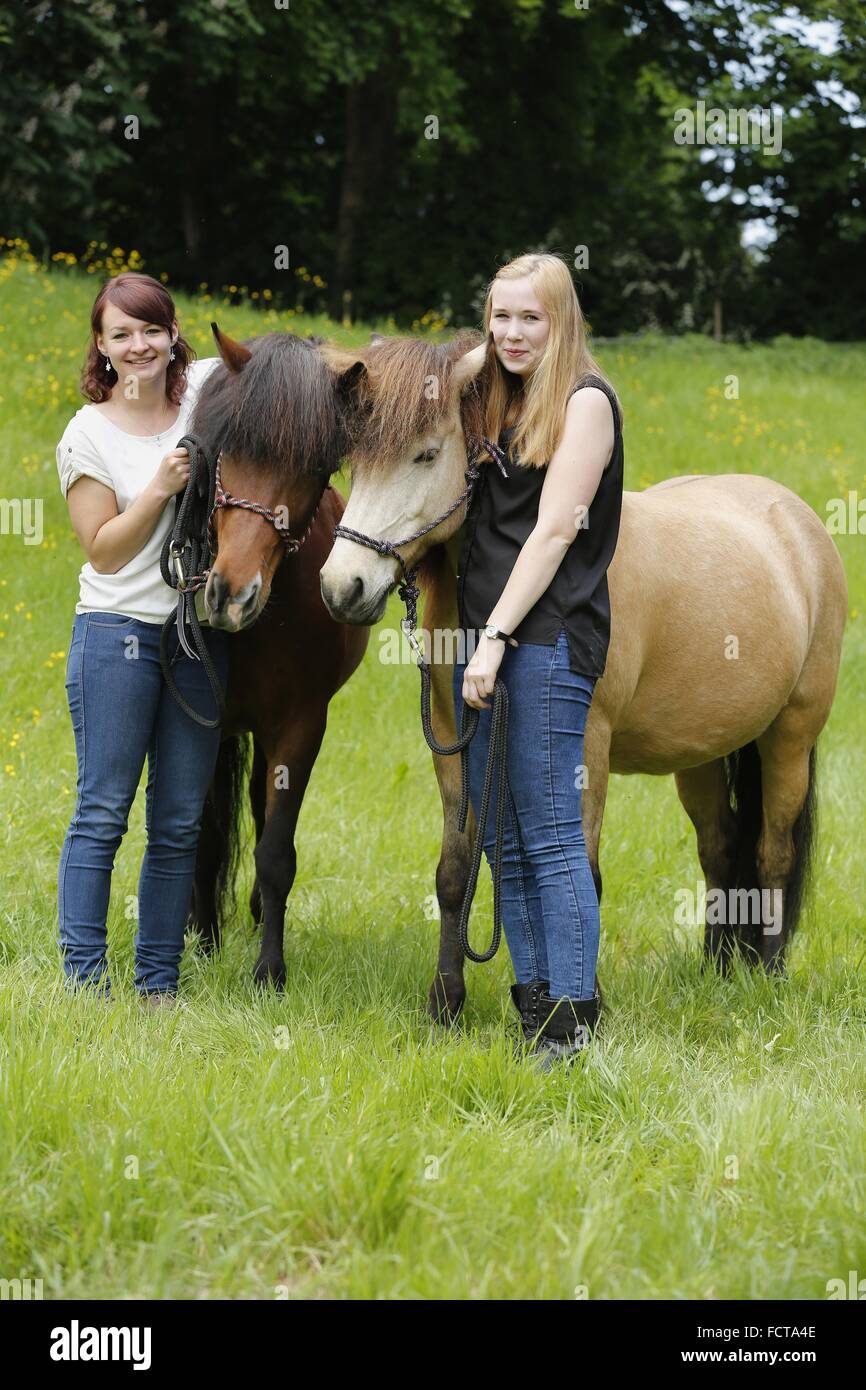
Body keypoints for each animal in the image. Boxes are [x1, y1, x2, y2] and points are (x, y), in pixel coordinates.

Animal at [187, 328, 366, 989]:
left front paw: (269, 969)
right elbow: (205, 836)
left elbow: (274, 851)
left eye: (313, 469)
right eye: (229, 444)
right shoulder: (204, 723)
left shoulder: (299, 725)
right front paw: (203, 939)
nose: (231, 594)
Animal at [316, 332, 845, 1028]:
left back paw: (770, 975)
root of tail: (799, 525)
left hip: (789, 738)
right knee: (721, 847)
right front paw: (445, 1004)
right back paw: (716, 969)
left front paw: (578, 1009)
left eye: (426, 453)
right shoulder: (456, 746)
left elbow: (582, 874)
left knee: (774, 851)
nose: (341, 587)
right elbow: (455, 871)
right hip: (702, 756)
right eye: (355, 461)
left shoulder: (584, 748)